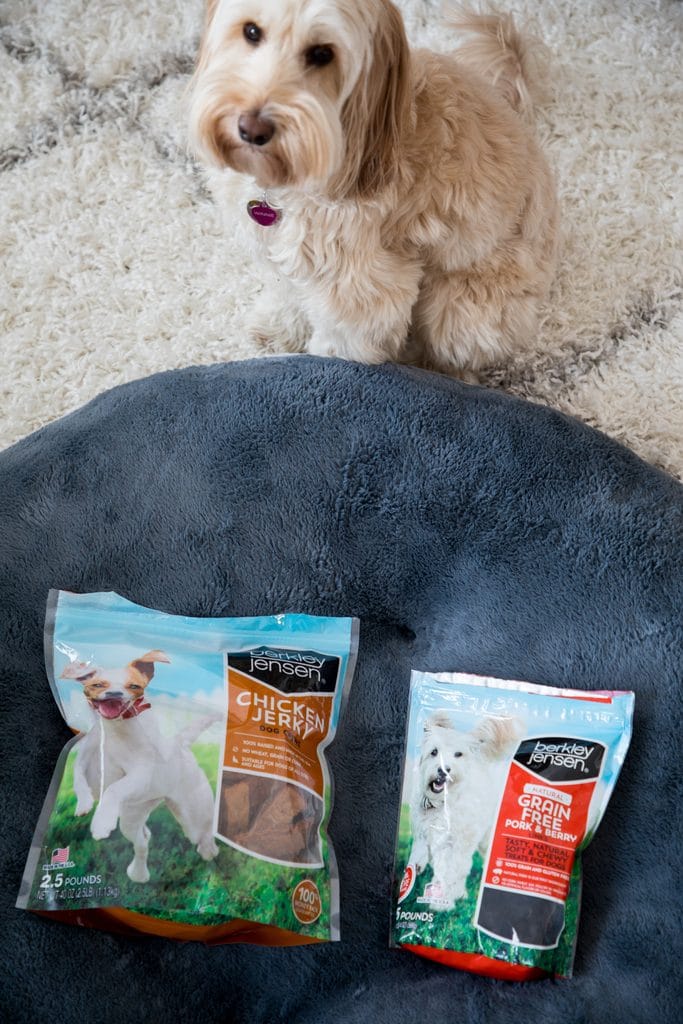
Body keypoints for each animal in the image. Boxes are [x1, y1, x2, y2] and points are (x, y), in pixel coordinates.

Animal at [61, 651, 218, 884]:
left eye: (133, 686)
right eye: (98, 684)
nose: (114, 694)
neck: (116, 731)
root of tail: (180, 743)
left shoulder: (140, 774)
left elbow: (114, 789)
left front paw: (101, 822)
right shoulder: (86, 762)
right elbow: (78, 778)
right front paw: (84, 804)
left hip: (193, 816)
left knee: (203, 835)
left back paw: (208, 852)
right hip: (131, 816)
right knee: (142, 841)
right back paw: (139, 873)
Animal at [188, 0, 561, 378]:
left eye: (323, 54)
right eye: (251, 31)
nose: (252, 129)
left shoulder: (362, 284)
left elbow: (342, 340)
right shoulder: (277, 249)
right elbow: (287, 292)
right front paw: (278, 330)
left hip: (463, 309)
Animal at [411, 712, 524, 913]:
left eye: (458, 754)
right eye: (434, 752)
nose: (444, 770)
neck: (441, 804)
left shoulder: (457, 843)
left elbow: (450, 871)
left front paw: (440, 904)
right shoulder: (423, 830)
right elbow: (422, 851)